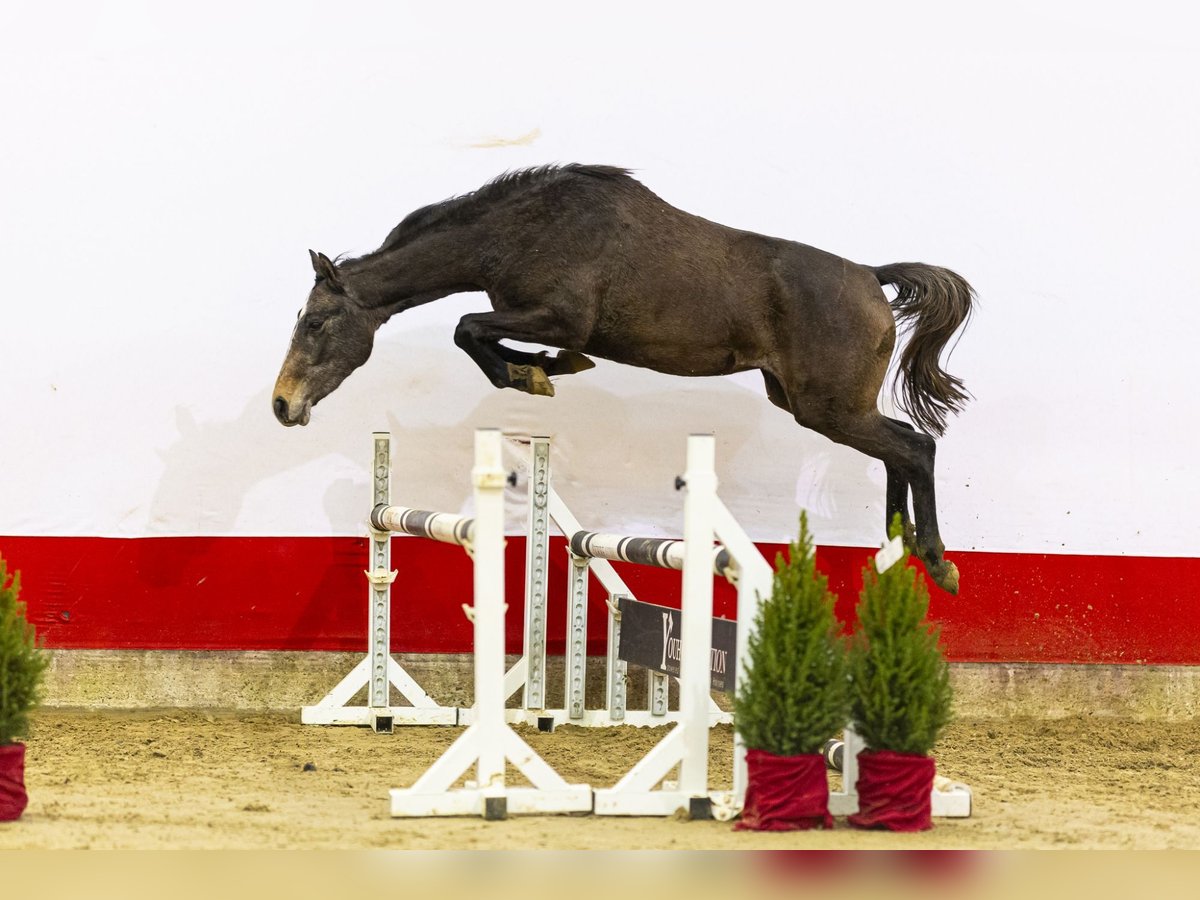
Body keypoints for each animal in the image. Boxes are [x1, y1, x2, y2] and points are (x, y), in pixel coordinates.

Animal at [272, 164, 974, 593]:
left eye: (317, 321)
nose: (282, 405)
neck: (517, 233)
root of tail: (871, 277)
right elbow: (481, 334)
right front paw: (544, 368)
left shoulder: (559, 315)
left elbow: (469, 329)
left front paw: (538, 373)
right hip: (816, 405)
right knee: (899, 452)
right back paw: (897, 548)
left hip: (827, 408)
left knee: (916, 446)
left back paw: (938, 562)